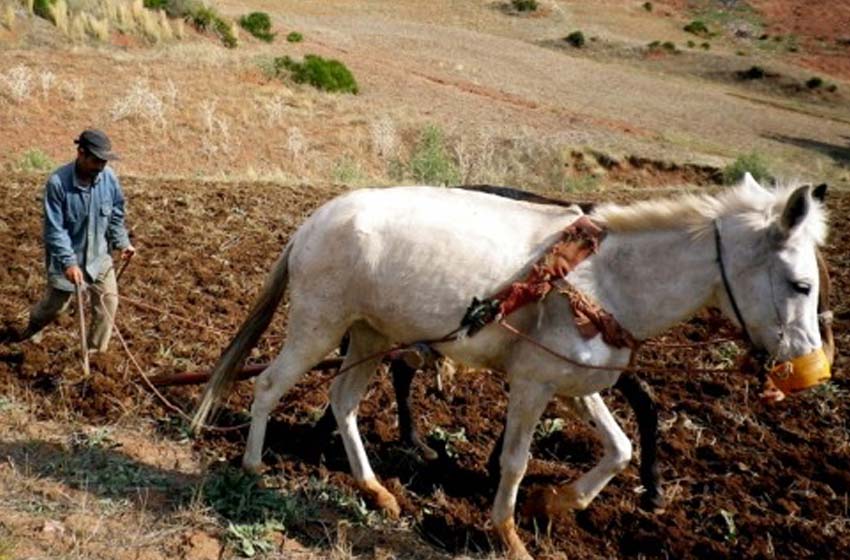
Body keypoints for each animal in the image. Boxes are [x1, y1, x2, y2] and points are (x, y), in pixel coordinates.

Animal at [192, 173, 828, 556]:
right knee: (269, 385)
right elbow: (516, 462)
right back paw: (252, 467)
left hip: (370, 334)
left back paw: (375, 490)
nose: (808, 365)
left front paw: (561, 502)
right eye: (801, 284)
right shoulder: (531, 385)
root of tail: (315, 220)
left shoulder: (575, 381)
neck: (603, 279)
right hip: (319, 325)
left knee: (343, 404)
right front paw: (508, 532)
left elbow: (620, 447)